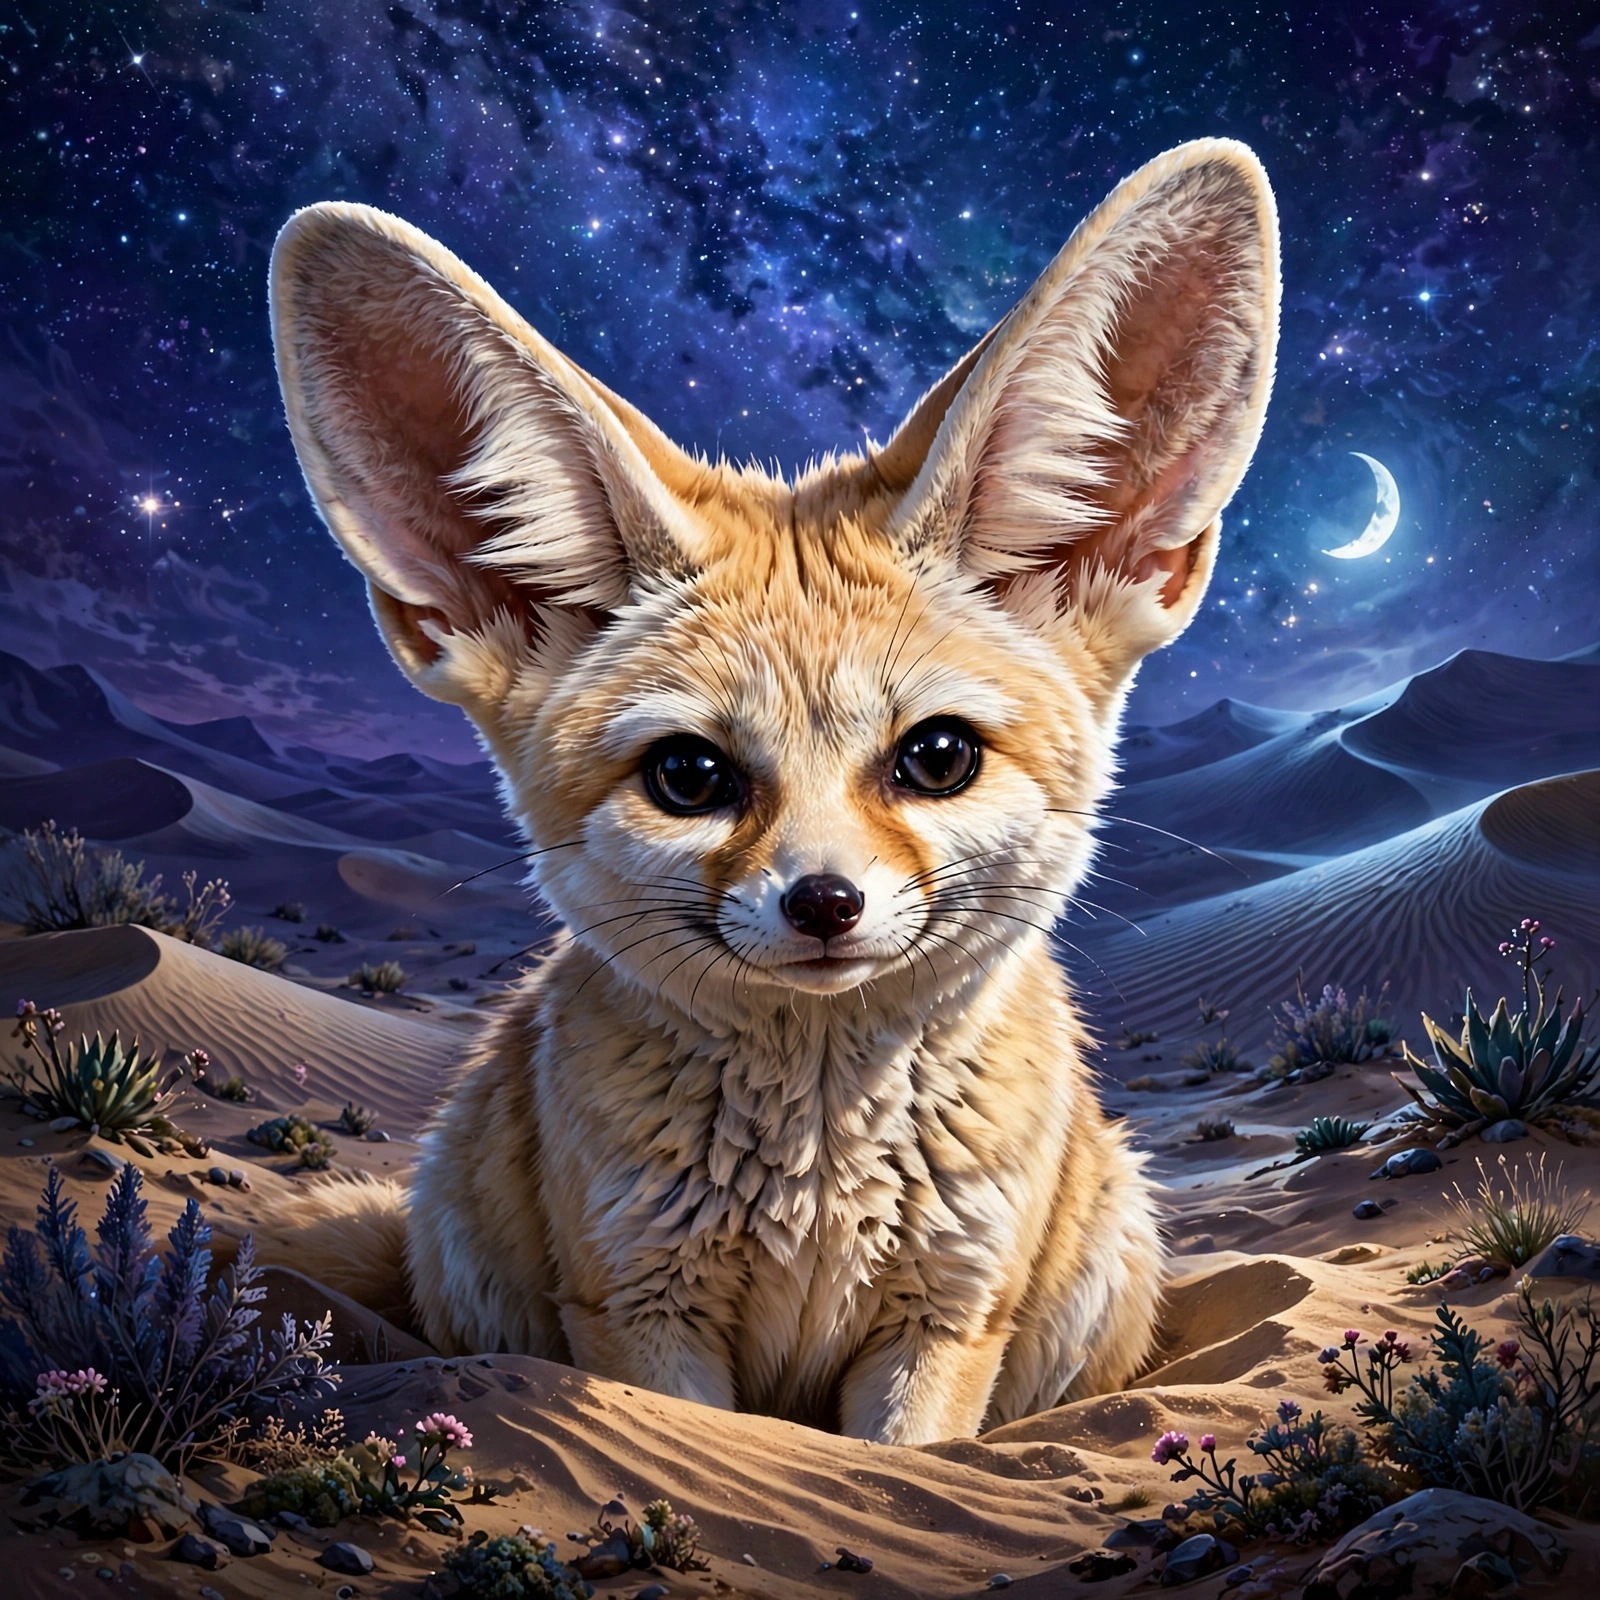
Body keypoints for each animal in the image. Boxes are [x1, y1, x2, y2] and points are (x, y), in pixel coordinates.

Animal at [265, 138, 1279, 1447]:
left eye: (936, 757)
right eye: (690, 774)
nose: (824, 902)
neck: (817, 1172)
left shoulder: (946, 1317)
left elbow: (906, 1468)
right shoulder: (640, 1307)